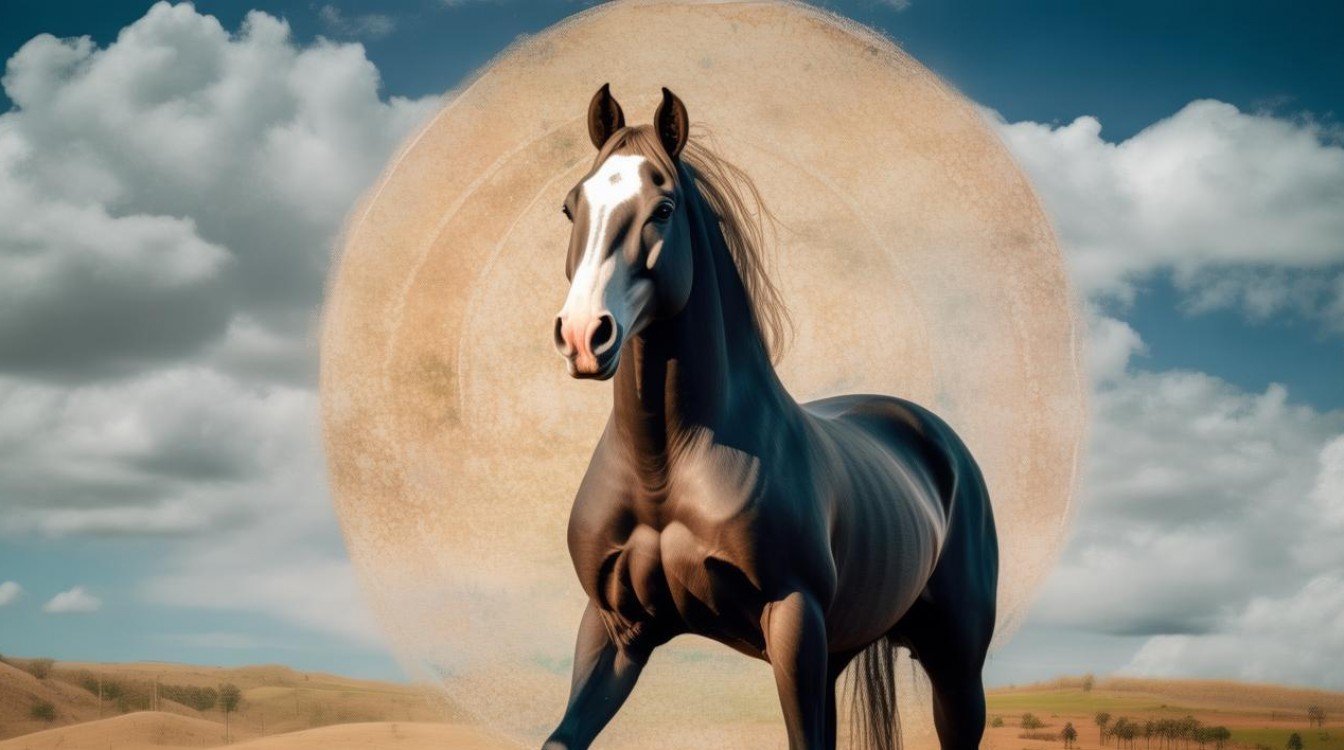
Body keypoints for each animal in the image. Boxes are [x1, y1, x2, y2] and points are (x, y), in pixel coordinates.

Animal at [543, 84, 999, 750]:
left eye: (663, 208)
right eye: (571, 207)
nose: (583, 335)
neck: (666, 464)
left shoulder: (791, 616)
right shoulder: (615, 628)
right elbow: (562, 736)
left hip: (955, 667)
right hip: (834, 654)